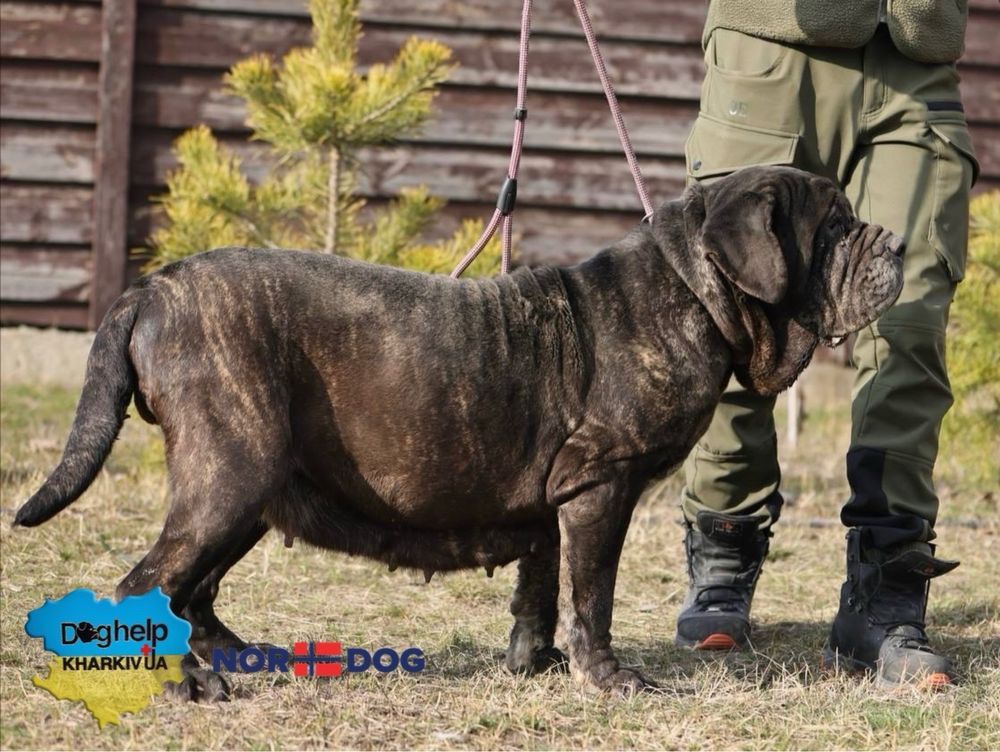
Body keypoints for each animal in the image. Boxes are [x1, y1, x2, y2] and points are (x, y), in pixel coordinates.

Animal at [15, 167, 908, 696]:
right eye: (834, 227)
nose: (897, 240)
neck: (693, 290)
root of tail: (151, 290)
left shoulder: (555, 497)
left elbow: (541, 587)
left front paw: (535, 663)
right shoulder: (601, 486)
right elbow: (593, 593)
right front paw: (608, 679)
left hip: (253, 487)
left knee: (192, 588)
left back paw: (240, 657)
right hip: (230, 471)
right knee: (148, 585)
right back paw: (180, 683)